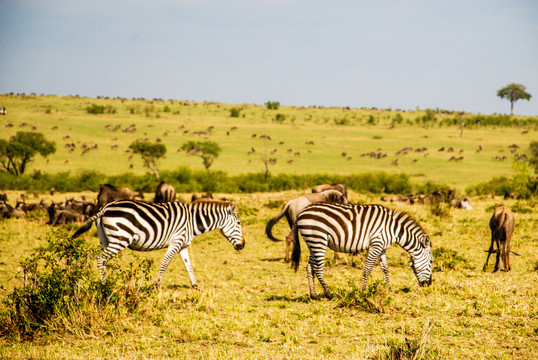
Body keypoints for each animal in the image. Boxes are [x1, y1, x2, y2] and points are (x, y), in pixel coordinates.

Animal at [71, 200, 245, 286]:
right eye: (238, 223)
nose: (243, 245)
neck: (192, 222)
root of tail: (105, 207)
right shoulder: (176, 242)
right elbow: (165, 263)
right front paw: (156, 285)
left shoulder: (183, 244)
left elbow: (188, 265)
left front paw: (195, 285)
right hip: (120, 238)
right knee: (101, 258)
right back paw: (104, 285)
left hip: (105, 239)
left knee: (104, 260)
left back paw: (107, 283)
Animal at [294, 202, 432, 298]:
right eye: (431, 262)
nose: (429, 284)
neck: (394, 229)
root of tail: (301, 213)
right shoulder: (376, 244)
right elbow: (368, 269)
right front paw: (362, 291)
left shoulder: (382, 247)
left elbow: (385, 268)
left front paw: (389, 290)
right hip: (318, 239)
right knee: (318, 268)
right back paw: (328, 294)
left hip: (313, 242)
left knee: (309, 267)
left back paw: (314, 295)